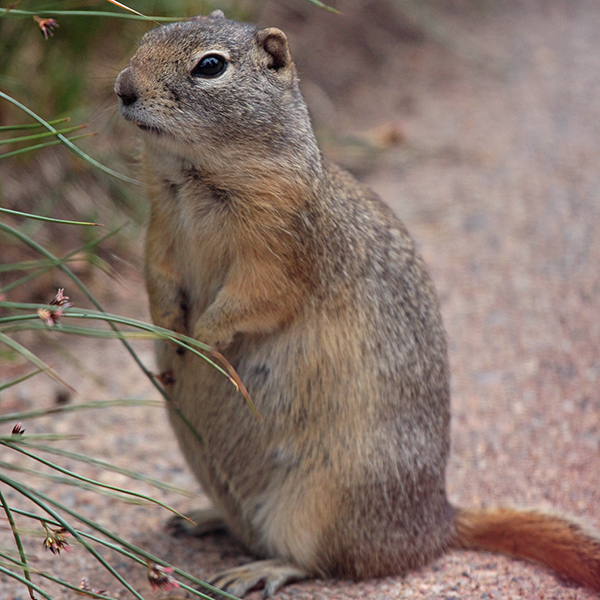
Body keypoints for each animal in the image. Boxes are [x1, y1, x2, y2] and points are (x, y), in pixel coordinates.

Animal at [116, 11, 600, 596]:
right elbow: (158, 280)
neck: (193, 177)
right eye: (145, 38)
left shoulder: (280, 251)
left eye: (210, 66)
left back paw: (260, 569)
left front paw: (201, 342)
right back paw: (203, 518)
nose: (123, 87)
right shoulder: (159, 231)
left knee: (319, 560)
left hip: (320, 503)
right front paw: (166, 333)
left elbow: (252, 300)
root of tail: (435, 524)